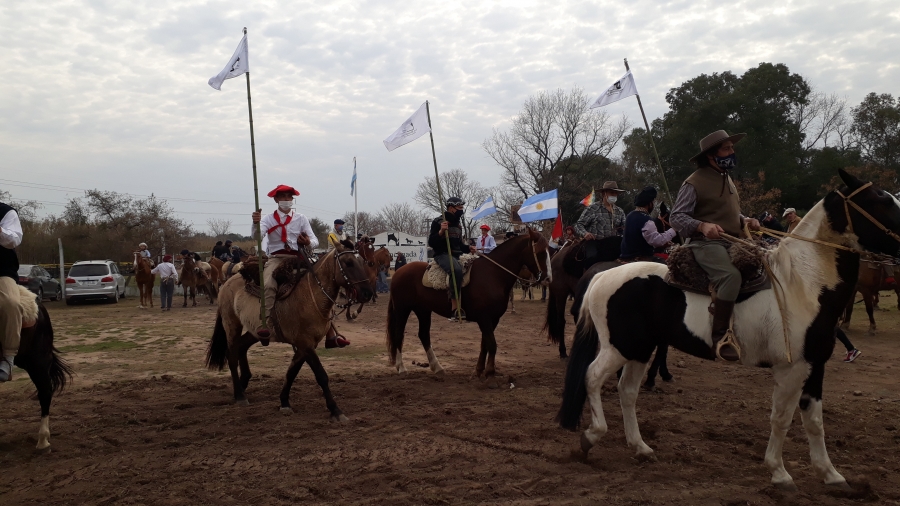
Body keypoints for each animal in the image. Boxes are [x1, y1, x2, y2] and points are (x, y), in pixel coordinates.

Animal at [205, 243, 372, 418]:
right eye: (348, 262)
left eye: (361, 260)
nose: (368, 292)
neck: (311, 296)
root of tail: (226, 283)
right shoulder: (305, 344)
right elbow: (321, 375)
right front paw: (335, 410)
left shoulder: (306, 345)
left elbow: (291, 372)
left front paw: (284, 402)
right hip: (232, 324)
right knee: (231, 356)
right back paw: (239, 395)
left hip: (255, 331)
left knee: (242, 347)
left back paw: (243, 383)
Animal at [384, 230, 552, 388]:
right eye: (540, 252)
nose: (548, 279)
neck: (493, 274)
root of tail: (398, 272)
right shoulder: (484, 318)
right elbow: (492, 345)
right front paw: (490, 376)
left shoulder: (493, 319)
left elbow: (485, 344)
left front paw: (478, 372)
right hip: (403, 310)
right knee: (399, 335)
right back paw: (402, 368)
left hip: (423, 310)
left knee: (424, 335)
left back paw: (437, 367)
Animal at [556, 170, 900, 490]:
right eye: (882, 201)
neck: (801, 284)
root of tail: (603, 275)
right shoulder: (790, 369)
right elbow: (782, 418)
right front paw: (779, 472)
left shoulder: (814, 367)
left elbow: (814, 421)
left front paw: (831, 474)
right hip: (620, 347)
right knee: (592, 377)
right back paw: (592, 436)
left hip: (640, 349)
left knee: (627, 391)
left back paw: (640, 447)